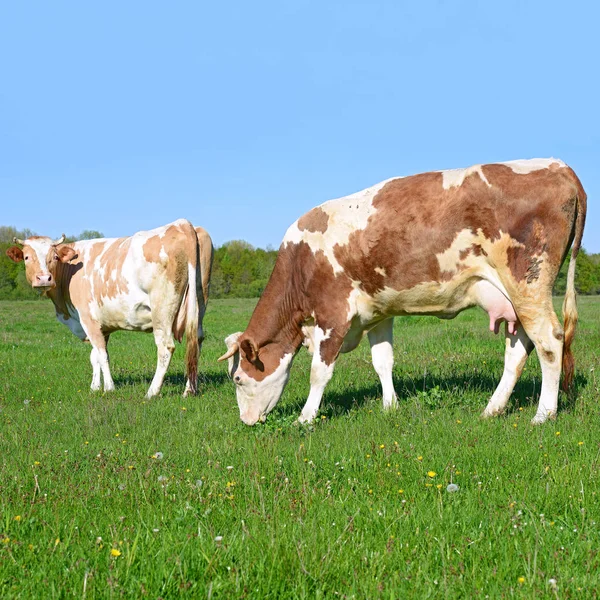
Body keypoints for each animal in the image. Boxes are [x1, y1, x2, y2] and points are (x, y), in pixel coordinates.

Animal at [6, 218, 213, 396]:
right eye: (26, 257)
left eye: (55, 257)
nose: (44, 278)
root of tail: (182, 224)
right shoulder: (102, 325)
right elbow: (95, 356)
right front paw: (95, 387)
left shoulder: (87, 318)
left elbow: (102, 354)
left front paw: (109, 388)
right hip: (200, 301)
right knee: (196, 341)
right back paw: (189, 390)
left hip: (162, 309)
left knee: (165, 348)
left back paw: (151, 393)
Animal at [219, 157, 584, 424]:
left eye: (237, 379)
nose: (246, 421)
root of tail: (558, 165)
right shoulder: (377, 312)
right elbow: (383, 361)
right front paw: (390, 406)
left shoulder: (333, 312)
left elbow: (318, 372)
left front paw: (305, 418)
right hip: (513, 298)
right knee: (519, 349)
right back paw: (492, 409)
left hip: (528, 283)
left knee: (549, 342)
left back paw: (543, 415)